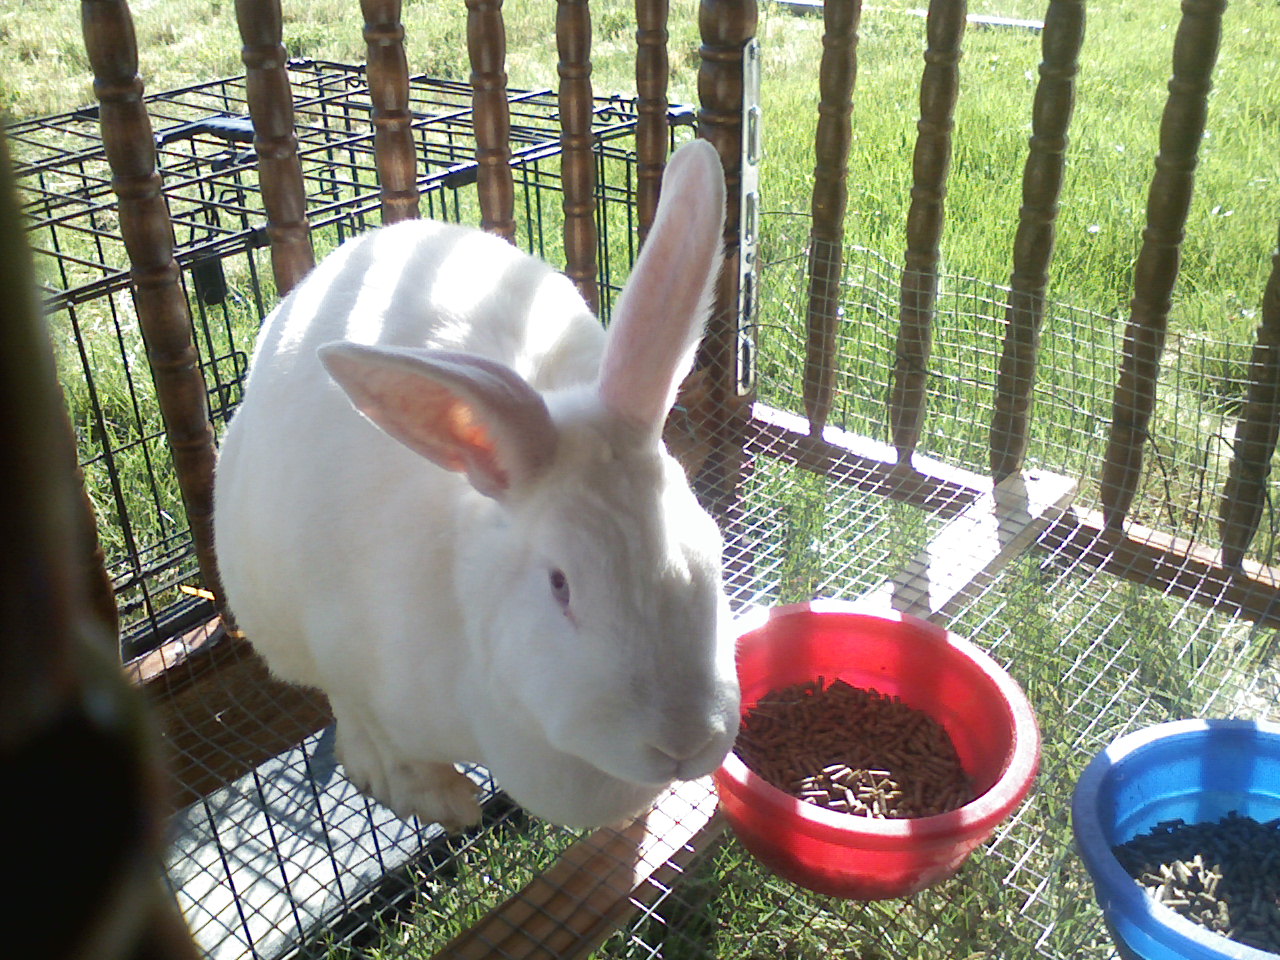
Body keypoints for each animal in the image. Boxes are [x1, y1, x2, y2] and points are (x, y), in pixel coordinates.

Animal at [212, 139, 741, 830]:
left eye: (711, 548)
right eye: (560, 585)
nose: (684, 742)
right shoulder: (349, 663)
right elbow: (371, 730)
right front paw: (436, 800)